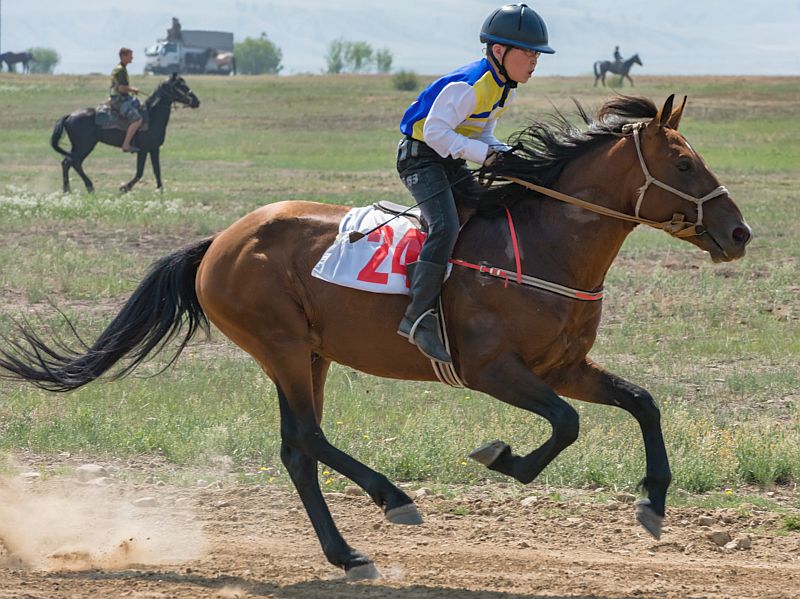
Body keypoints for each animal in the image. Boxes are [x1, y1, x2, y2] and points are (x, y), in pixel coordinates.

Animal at [0, 95, 752, 580]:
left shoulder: (563, 365)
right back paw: (392, 498)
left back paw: (348, 552)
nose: (740, 232)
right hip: (281, 347)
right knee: (307, 439)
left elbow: (642, 401)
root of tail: (220, 240)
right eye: (685, 164)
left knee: (296, 449)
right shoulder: (491, 368)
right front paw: (502, 457)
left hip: (307, 354)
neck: (542, 245)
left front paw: (653, 501)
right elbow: (565, 425)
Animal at [50, 74, 200, 193]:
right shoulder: (143, 150)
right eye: (180, 86)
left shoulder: (154, 148)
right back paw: (88, 186)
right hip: (84, 146)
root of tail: (69, 116)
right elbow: (140, 172)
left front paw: (160, 189)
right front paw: (125, 188)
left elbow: (157, 169)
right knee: (73, 162)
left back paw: (68, 189)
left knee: (67, 162)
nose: (197, 101)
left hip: (80, 147)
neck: (151, 115)